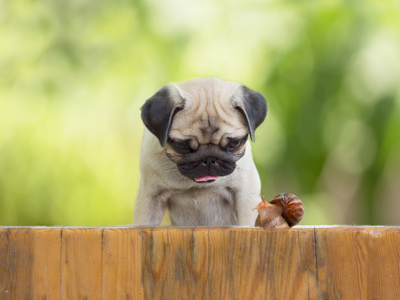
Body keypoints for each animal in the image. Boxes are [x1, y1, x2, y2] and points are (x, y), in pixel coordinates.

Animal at [133, 78, 268, 226]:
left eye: (235, 143)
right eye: (181, 145)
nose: (208, 159)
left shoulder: (245, 195)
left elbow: (247, 223)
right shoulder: (150, 197)